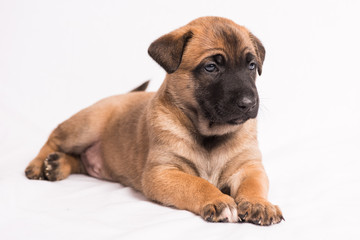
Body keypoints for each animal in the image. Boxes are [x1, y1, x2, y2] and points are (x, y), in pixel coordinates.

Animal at [25, 16, 284, 225]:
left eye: (251, 65)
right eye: (211, 67)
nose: (248, 103)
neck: (209, 135)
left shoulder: (249, 167)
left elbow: (254, 184)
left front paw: (259, 204)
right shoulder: (162, 173)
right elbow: (197, 184)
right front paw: (218, 200)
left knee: (80, 161)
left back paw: (58, 165)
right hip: (85, 126)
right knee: (54, 138)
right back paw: (39, 165)